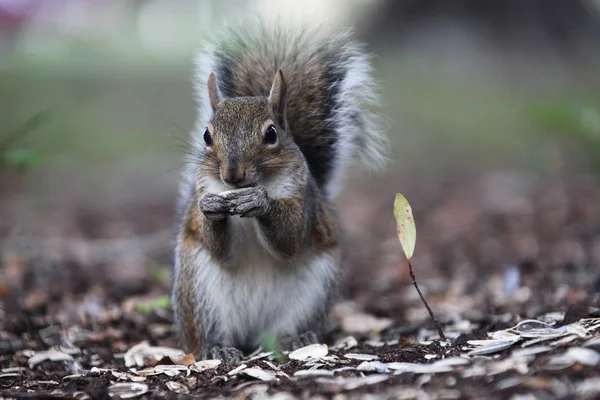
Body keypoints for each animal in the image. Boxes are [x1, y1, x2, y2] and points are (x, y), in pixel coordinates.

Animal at [170, 19, 384, 362]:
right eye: (206, 135)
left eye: (271, 134)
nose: (232, 174)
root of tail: (250, 335)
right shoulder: (203, 190)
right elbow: (219, 248)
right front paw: (212, 209)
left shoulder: (303, 197)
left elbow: (291, 236)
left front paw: (261, 202)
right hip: (199, 294)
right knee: (206, 337)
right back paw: (219, 349)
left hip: (310, 294)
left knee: (286, 329)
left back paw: (294, 340)